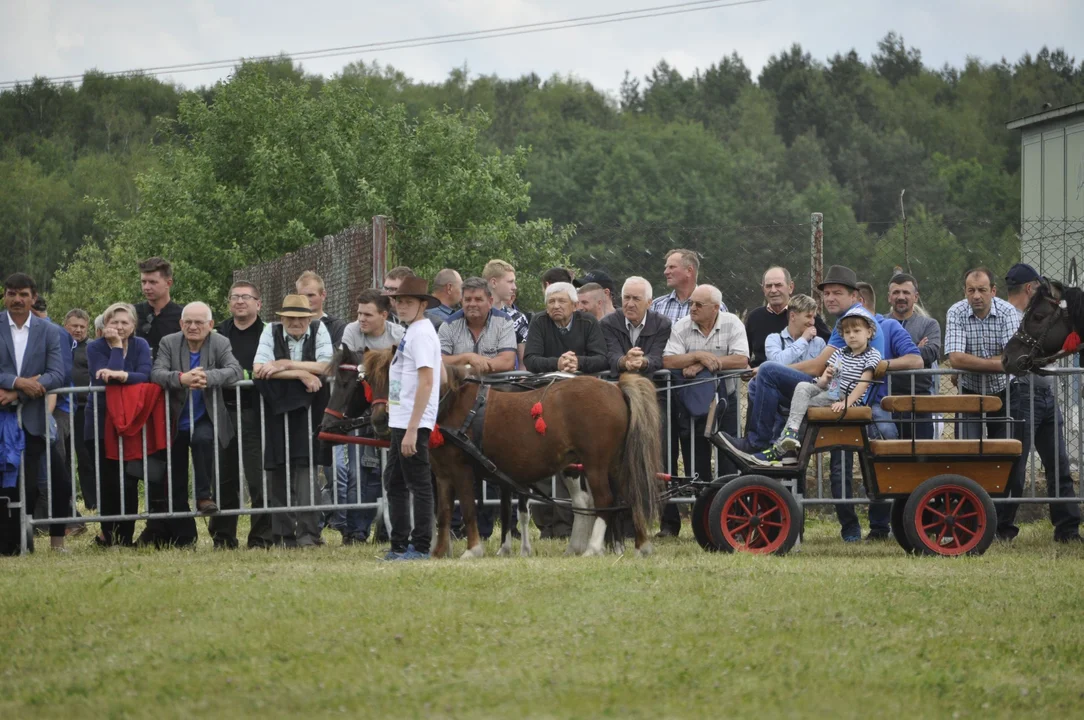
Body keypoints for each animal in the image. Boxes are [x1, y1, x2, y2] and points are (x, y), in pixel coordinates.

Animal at [362, 346, 659, 555]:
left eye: (398, 377)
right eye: (368, 381)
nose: (379, 420)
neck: (454, 403)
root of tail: (616, 388)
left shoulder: (461, 470)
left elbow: (468, 507)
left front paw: (473, 550)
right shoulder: (447, 473)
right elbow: (445, 512)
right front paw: (441, 551)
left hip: (595, 464)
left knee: (603, 500)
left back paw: (593, 548)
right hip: (611, 463)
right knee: (626, 495)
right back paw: (638, 546)